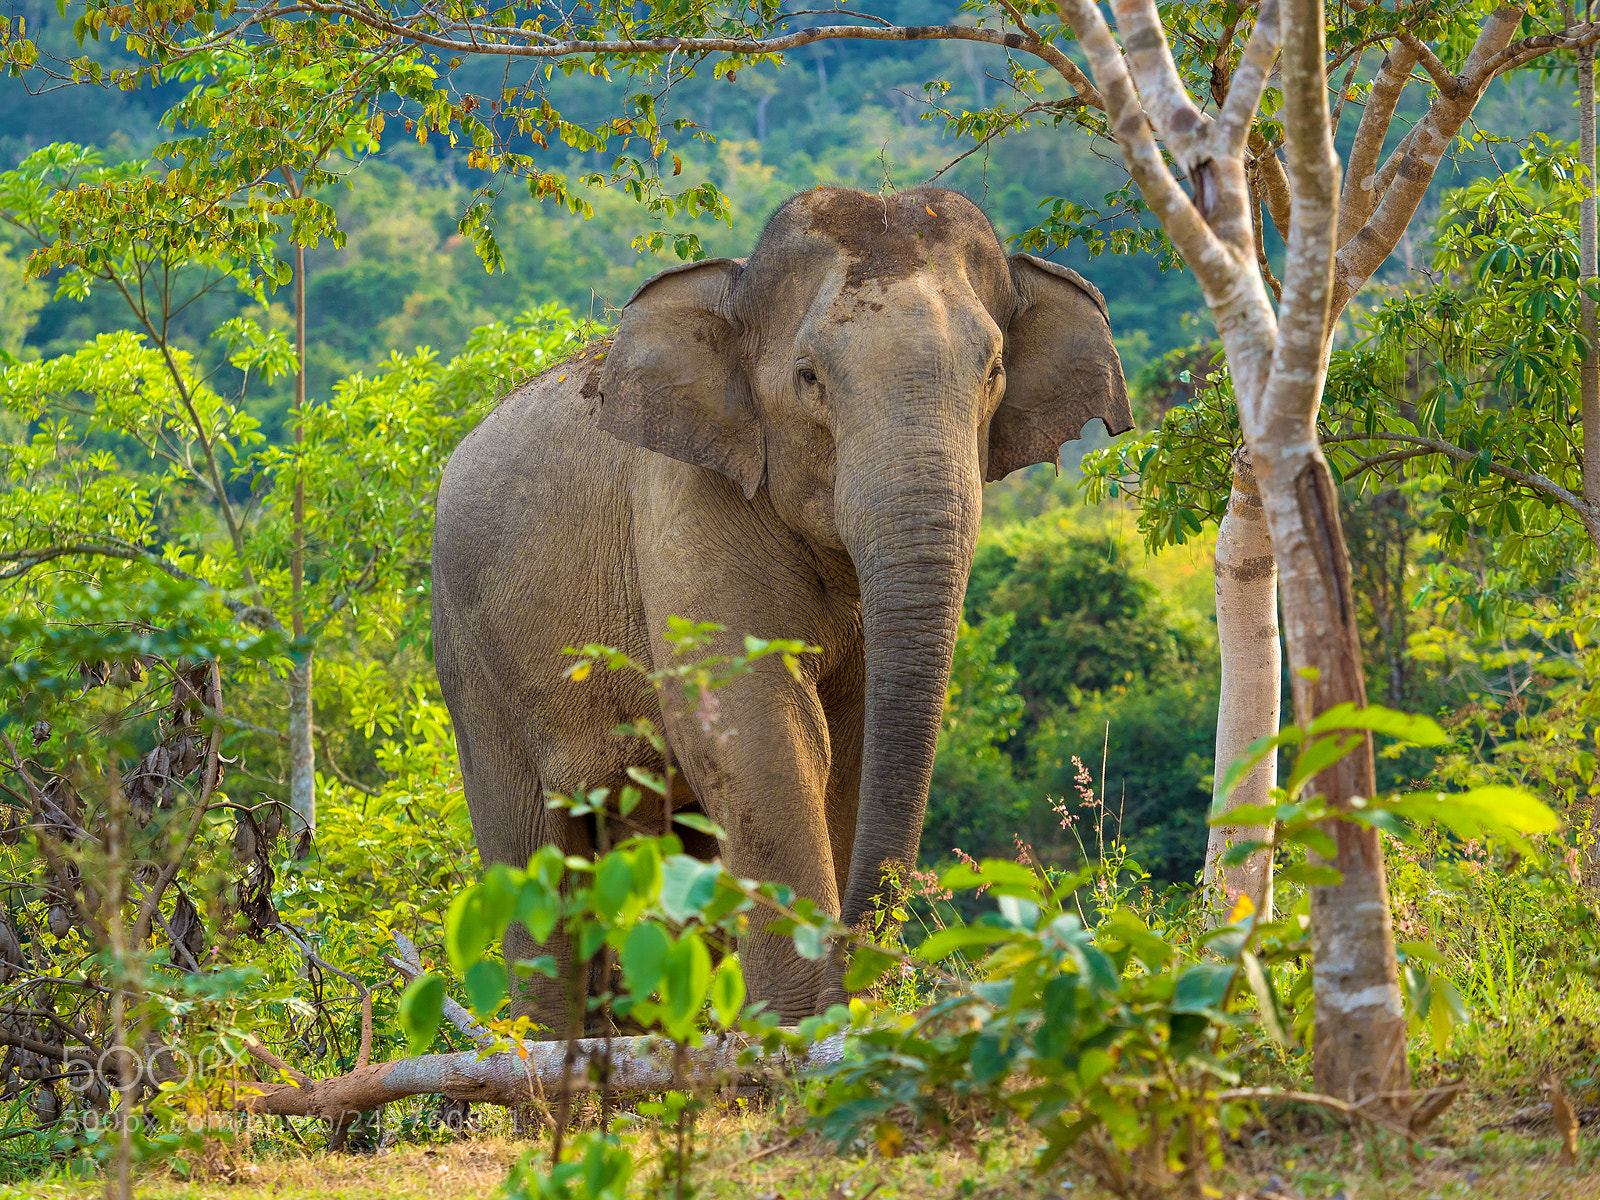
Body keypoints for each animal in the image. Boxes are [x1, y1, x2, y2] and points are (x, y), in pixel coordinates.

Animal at [431, 185, 1132, 1032]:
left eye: (993, 369)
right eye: (808, 377)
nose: (856, 974)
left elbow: (851, 743)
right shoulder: (686, 501)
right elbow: (760, 727)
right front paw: (802, 1027)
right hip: (469, 660)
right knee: (531, 855)